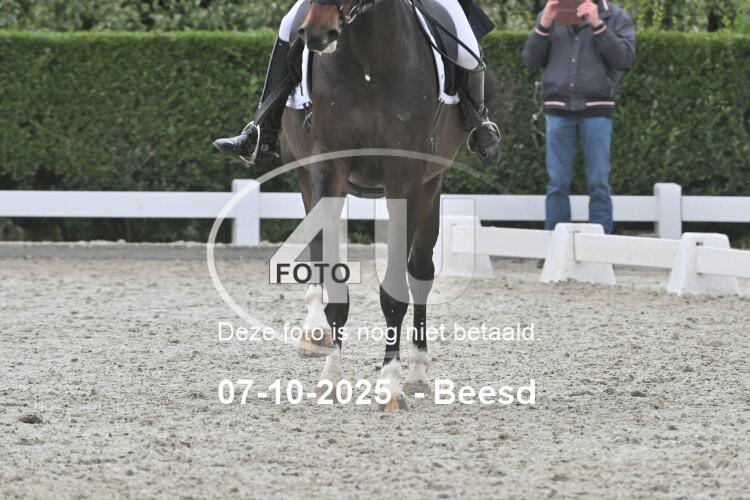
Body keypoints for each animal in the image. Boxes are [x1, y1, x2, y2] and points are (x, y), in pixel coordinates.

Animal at [279, 0, 487, 411]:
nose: (317, 34)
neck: (368, 60)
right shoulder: (327, 168)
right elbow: (334, 281)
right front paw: (331, 378)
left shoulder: (405, 177)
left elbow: (394, 292)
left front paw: (389, 386)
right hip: (305, 174)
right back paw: (314, 331)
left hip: (431, 184)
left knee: (420, 273)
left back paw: (418, 370)